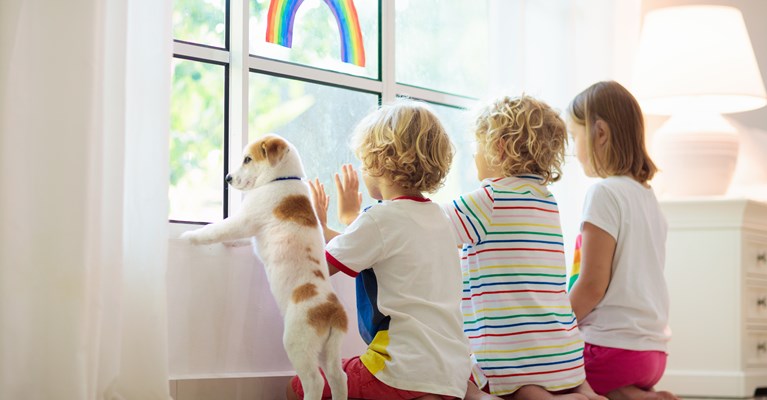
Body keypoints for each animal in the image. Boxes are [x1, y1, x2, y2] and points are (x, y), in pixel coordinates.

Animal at [182, 135, 350, 400]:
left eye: (247, 159)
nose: (228, 178)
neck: (281, 179)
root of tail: (332, 311)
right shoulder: (249, 229)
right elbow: (238, 239)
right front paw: (228, 244)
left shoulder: (243, 220)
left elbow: (215, 230)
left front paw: (189, 237)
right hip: (329, 350)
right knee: (338, 377)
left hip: (298, 344)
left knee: (314, 382)